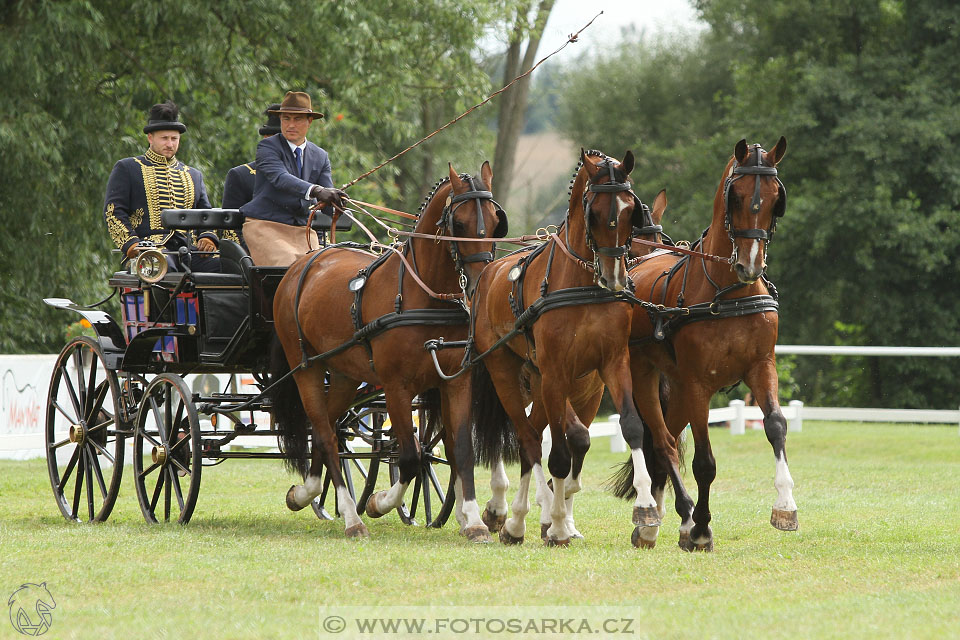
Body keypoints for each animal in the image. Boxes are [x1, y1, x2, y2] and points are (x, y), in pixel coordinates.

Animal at [270, 161, 506, 540]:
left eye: (497, 222)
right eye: (459, 224)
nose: (482, 281)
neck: (422, 296)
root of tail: (302, 264)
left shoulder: (455, 381)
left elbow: (461, 450)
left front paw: (473, 521)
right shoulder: (397, 387)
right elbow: (410, 456)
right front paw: (379, 502)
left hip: (344, 374)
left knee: (328, 430)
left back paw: (305, 493)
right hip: (305, 368)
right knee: (324, 431)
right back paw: (352, 518)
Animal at [470, 150, 684, 544]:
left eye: (630, 212)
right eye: (593, 213)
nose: (616, 277)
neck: (584, 283)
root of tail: (488, 275)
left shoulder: (611, 364)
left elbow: (629, 427)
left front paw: (645, 507)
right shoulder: (556, 372)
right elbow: (563, 448)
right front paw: (556, 522)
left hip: (547, 382)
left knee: (536, 437)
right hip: (506, 372)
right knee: (528, 439)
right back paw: (520, 519)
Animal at [612, 136, 800, 552]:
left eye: (776, 198)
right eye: (736, 196)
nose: (751, 265)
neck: (729, 291)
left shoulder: (761, 366)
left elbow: (776, 426)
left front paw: (785, 506)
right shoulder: (699, 383)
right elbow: (705, 463)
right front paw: (701, 529)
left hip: (678, 387)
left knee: (665, 439)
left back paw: (664, 516)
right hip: (647, 377)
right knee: (662, 442)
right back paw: (671, 519)